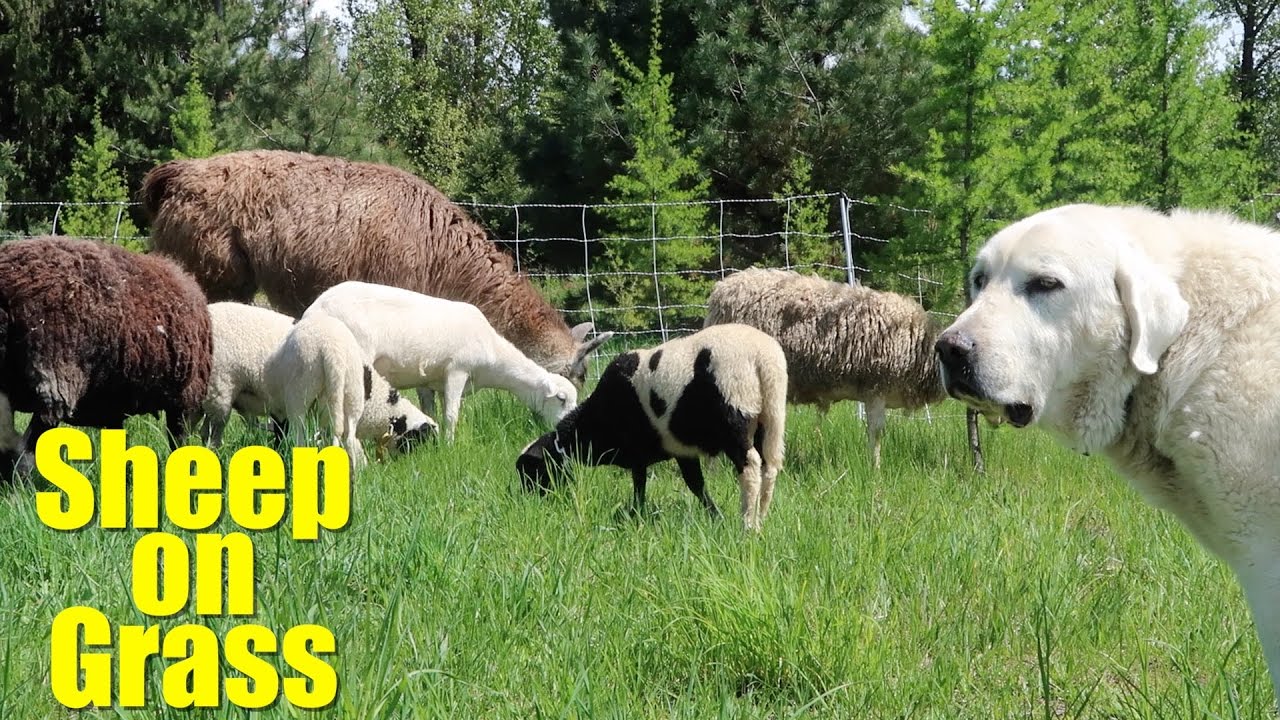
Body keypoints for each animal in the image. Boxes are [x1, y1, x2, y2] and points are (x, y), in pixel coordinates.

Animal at [262, 314, 438, 474]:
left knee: (303, 436)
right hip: (327, 396)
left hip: (302, 395)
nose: (414, 464)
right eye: (418, 439)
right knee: (344, 440)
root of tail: (332, 352)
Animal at [300, 280, 581, 443]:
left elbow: (430, 410)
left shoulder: (426, 380)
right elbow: (451, 414)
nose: (569, 427)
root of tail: (315, 310)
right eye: (561, 399)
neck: (493, 356)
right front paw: (449, 444)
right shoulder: (457, 370)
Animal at [516, 323, 788, 531]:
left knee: (750, 466)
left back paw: (747, 524)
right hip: (769, 419)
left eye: (533, 470)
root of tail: (764, 358)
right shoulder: (682, 450)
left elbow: (640, 485)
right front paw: (715, 516)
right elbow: (696, 485)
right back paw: (761, 519)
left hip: (734, 416)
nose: (528, 500)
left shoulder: (637, 451)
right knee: (769, 468)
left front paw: (635, 516)